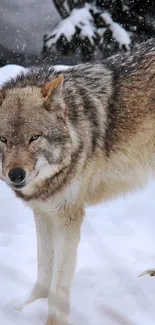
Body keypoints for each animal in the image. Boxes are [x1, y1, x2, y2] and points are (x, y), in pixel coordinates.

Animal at [0, 38, 155, 324]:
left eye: (34, 137)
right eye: (3, 139)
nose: (16, 175)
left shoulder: (68, 216)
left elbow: (58, 284)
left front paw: (53, 321)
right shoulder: (43, 212)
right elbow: (44, 271)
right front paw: (25, 309)